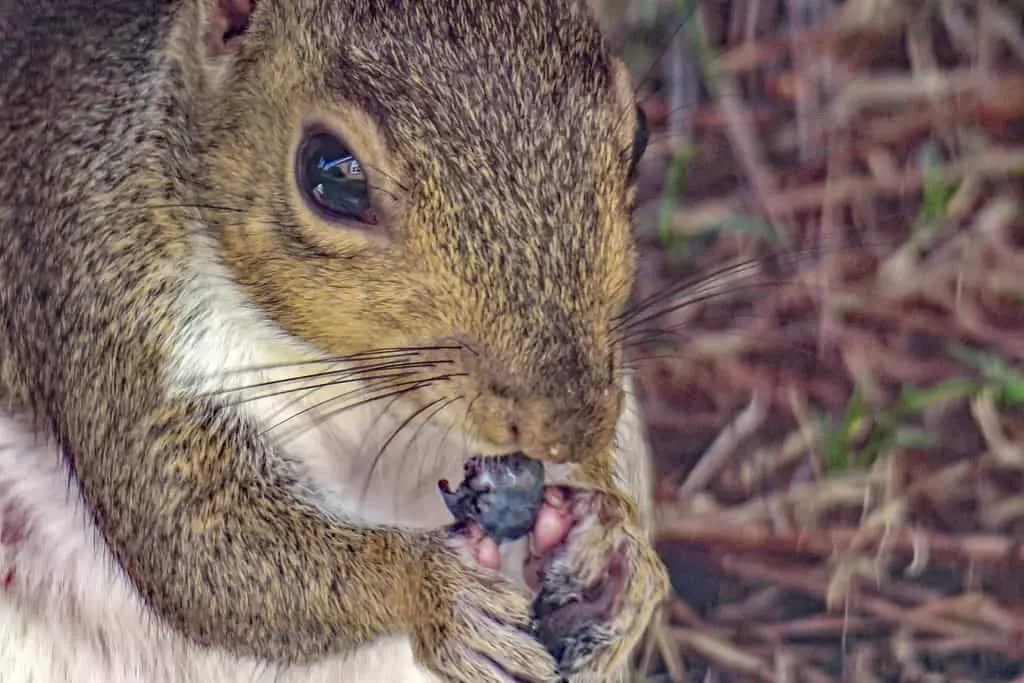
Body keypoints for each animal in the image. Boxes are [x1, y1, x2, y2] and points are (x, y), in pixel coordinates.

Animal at [0, 0, 667, 679]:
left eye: (640, 131)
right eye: (333, 174)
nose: (566, 430)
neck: (342, 375)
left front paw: (615, 548)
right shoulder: (108, 303)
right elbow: (196, 543)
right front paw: (433, 590)